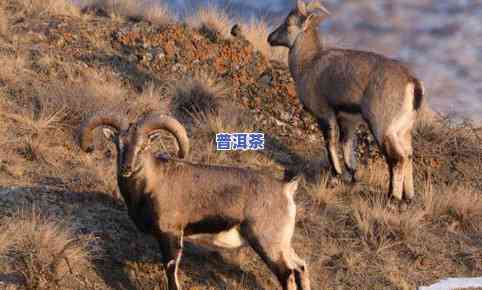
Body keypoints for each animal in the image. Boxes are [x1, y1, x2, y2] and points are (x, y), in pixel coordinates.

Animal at [81, 113, 310, 290]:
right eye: (119, 144)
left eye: (144, 146)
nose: (126, 168)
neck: (151, 184)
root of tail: (286, 188)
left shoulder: (171, 234)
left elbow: (171, 269)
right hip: (282, 243)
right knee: (300, 266)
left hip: (267, 243)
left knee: (287, 273)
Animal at [268, 0, 426, 202]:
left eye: (288, 23)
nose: (270, 38)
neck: (308, 64)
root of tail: (413, 83)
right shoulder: (348, 120)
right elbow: (347, 146)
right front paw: (353, 176)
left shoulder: (325, 114)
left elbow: (330, 142)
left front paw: (336, 174)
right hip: (403, 130)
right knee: (409, 155)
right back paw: (408, 197)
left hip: (382, 128)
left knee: (397, 158)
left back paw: (392, 197)